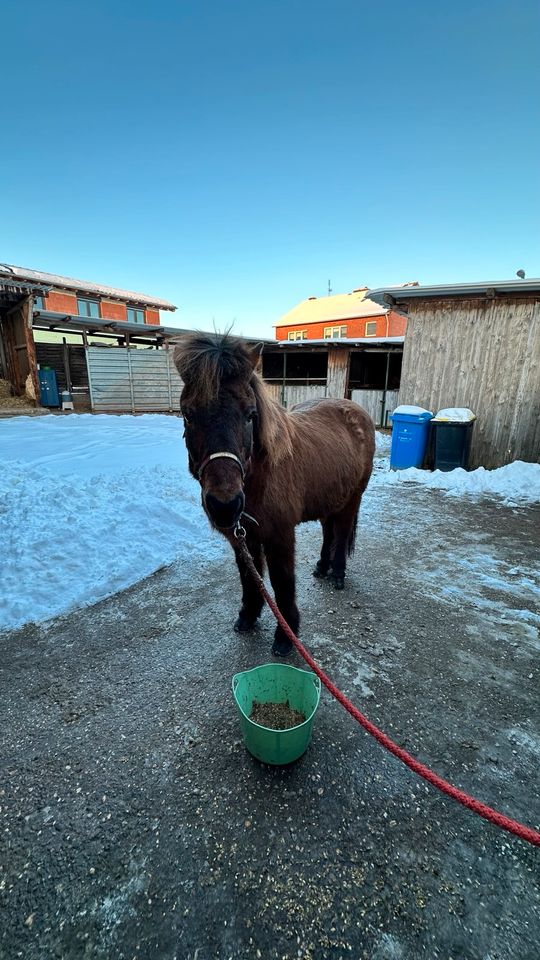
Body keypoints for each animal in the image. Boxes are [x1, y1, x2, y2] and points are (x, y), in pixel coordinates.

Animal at [174, 334, 376, 656]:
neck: (258, 480)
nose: (224, 506)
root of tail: (355, 411)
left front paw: (286, 635)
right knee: (328, 531)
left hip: (352, 498)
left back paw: (337, 574)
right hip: (329, 497)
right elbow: (250, 578)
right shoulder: (242, 537)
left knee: (342, 532)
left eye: (250, 415)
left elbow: (282, 583)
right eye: (188, 415)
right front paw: (248, 616)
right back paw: (322, 567)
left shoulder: (279, 535)